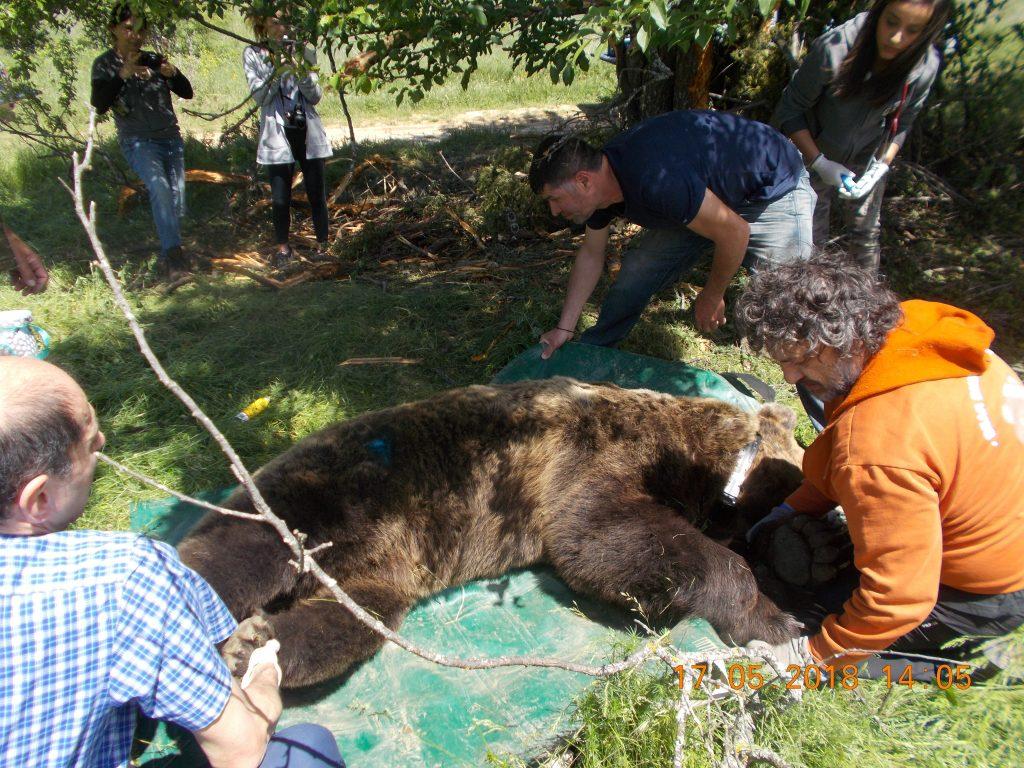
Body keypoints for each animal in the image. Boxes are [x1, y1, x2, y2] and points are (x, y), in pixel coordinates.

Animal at [182, 376, 806, 688]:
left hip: (376, 571)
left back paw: (254, 644)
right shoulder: (588, 460)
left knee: (344, 626)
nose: (768, 547)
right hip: (317, 496)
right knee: (236, 556)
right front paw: (774, 617)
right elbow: (602, 537)